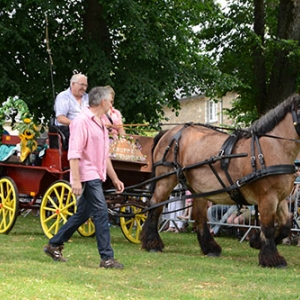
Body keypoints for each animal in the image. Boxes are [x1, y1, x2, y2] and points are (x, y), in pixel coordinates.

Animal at [141, 93, 300, 268]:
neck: (272, 147)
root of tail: (169, 132)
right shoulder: (267, 197)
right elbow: (268, 226)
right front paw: (272, 258)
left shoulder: (281, 197)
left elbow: (286, 224)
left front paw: (257, 242)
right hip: (166, 180)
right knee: (155, 207)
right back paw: (152, 243)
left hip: (199, 189)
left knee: (199, 216)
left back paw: (210, 247)